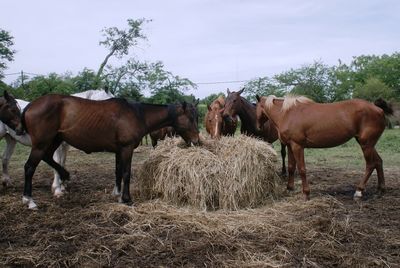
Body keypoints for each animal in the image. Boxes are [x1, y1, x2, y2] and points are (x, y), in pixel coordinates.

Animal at [18, 94, 200, 209]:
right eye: (191, 118)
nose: (196, 141)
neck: (137, 114)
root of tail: (30, 105)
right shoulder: (126, 149)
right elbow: (126, 173)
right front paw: (126, 199)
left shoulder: (119, 151)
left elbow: (118, 171)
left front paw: (117, 194)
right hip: (41, 144)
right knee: (29, 167)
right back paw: (29, 200)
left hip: (54, 140)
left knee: (48, 158)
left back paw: (64, 175)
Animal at [256, 93, 394, 200]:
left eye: (255, 107)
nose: (258, 127)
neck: (287, 113)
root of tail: (378, 109)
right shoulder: (290, 146)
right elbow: (290, 167)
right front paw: (289, 188)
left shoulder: (297, 146)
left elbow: (302, 169)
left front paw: (306, 193)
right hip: (368, 143)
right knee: (378, 162)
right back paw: (380, 190)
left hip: (366, 144)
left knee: (370, 165)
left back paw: (359, 191)